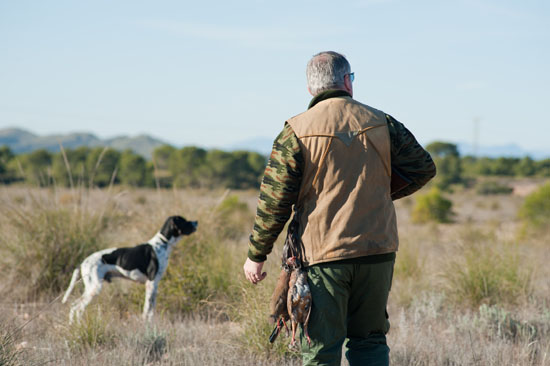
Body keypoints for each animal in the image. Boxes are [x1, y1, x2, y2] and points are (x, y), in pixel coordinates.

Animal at [62, 216, 198, 322]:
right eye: (185, 221)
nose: (196, 222)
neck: (162, 243)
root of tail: (83, 262)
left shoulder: (155, 286)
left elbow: (151, 309)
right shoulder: (151, 283)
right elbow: (147, 309)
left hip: (90, 288)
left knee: (75, 307)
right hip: (94, 288)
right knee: (77, 307)